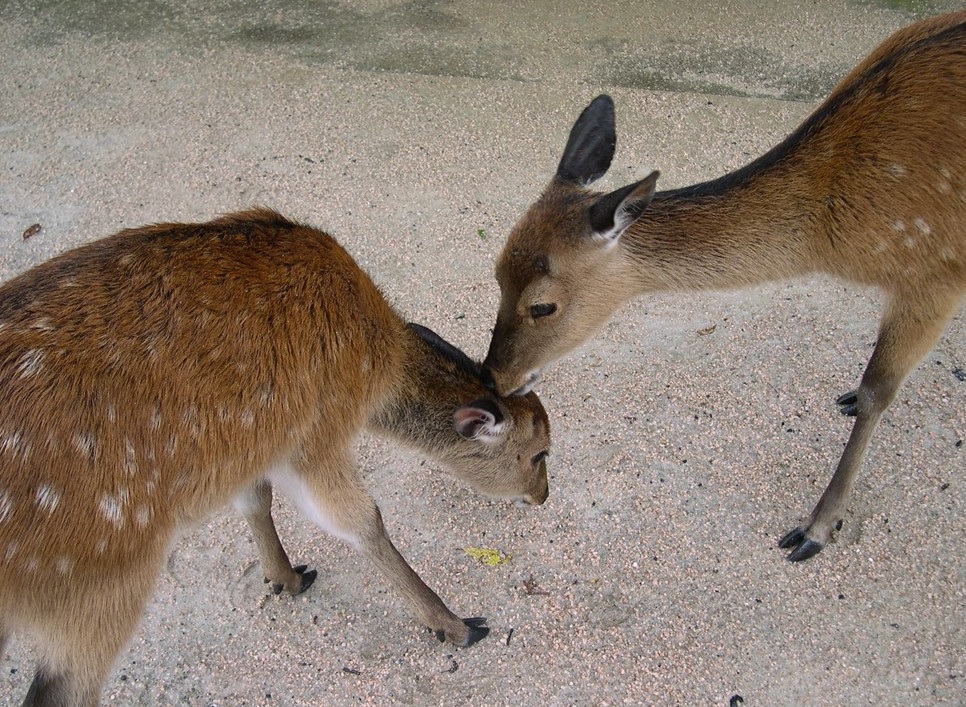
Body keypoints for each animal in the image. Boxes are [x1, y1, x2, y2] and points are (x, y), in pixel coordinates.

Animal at [0, 209, 552, 707]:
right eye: (540, 452)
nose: (543, 496)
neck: (376, 368)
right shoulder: (318, 433)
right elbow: (363, 522)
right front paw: (457, 626)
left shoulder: (263, 443)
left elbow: (255, 501)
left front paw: (285, 577)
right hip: (100, 582)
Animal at [484, 11, 966, 564]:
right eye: (495, 271)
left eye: (543, 305)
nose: (493, 377)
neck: (832, 238)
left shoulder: (934, 275)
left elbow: (876, 392)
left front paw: (815, 529)